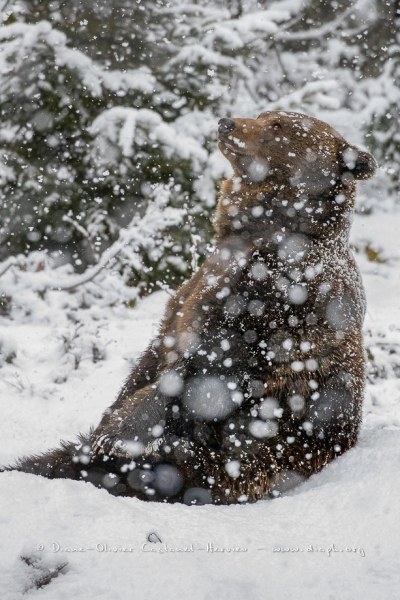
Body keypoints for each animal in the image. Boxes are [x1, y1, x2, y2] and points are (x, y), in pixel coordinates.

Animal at [5, 110, 376, 504]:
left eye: (279, 126)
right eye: (265, 114)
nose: (227, 123)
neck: (257, 234)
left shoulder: (271, 306)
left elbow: (201, 375)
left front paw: (115, 435)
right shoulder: (190, 296)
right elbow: (151, 358)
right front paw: (108, 421)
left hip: (259, 449)